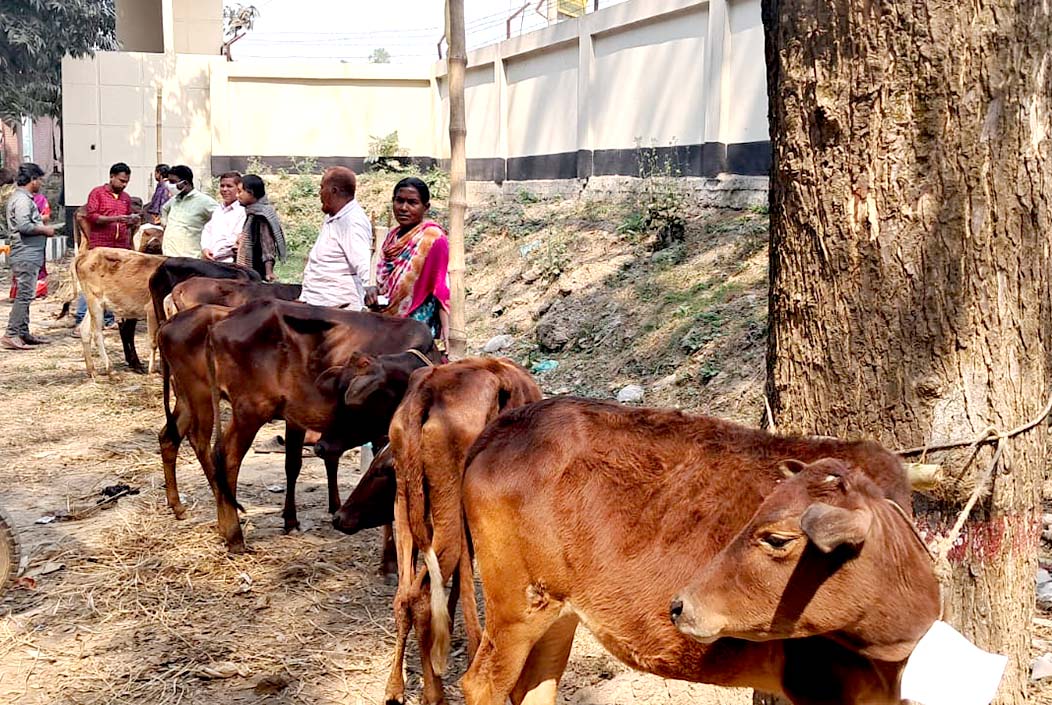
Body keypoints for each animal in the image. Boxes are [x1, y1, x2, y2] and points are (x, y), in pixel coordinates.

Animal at [382, 359, 542, 705]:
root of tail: (427, 391)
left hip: (404, 499)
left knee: (405, 596)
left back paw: (398, 688)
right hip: (449, 506)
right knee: (425, 594)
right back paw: (436, 691)